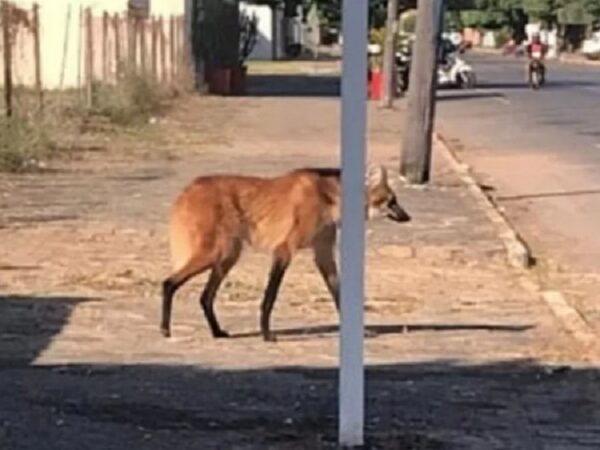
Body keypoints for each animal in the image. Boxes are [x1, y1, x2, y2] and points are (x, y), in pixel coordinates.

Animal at [162, 165, 410, 342]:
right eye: (392, 201)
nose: (408, 217)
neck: (331, 199)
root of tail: (190, 186)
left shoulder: (324, 254)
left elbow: (338, 293)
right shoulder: (284, 250)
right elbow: (270, 297)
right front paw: (266, 335)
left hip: (228, 256)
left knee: (205, 296)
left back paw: (217, 332)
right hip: (214, 253)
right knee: (169, 283)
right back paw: (165, 329)